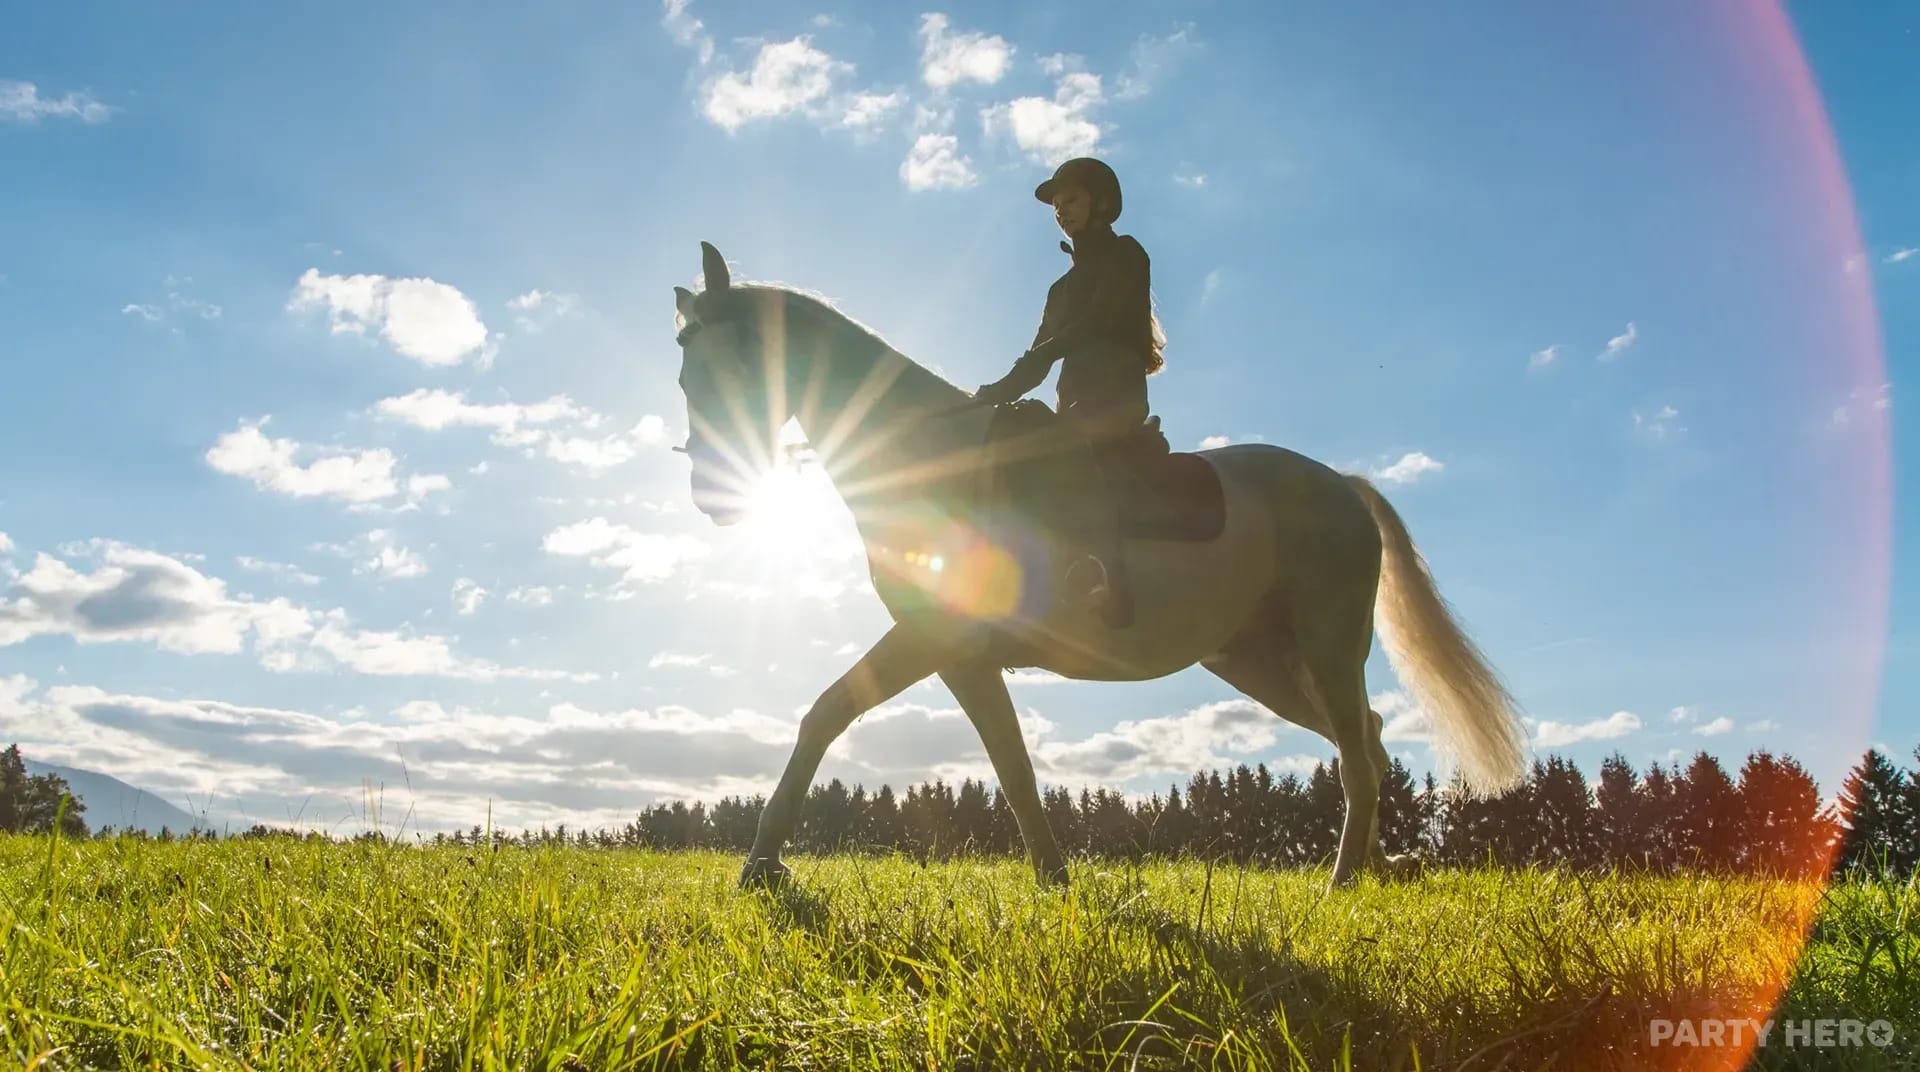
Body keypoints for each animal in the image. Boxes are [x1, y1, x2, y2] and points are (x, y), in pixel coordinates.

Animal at [669, 242, 1529, 889]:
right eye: (685, 377)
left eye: (730, 366)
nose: (712, 497)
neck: (925, 456)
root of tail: (1340, 486)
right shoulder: (956, 657)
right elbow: (996, 762)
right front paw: (1054, 879)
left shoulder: (935, 643)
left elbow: (840, 717)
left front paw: (760, 865)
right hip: (1260, 663)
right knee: (1366, 744)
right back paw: (1376, 872)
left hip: (1327, 645)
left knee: (1357, 758)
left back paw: (1344, 881)